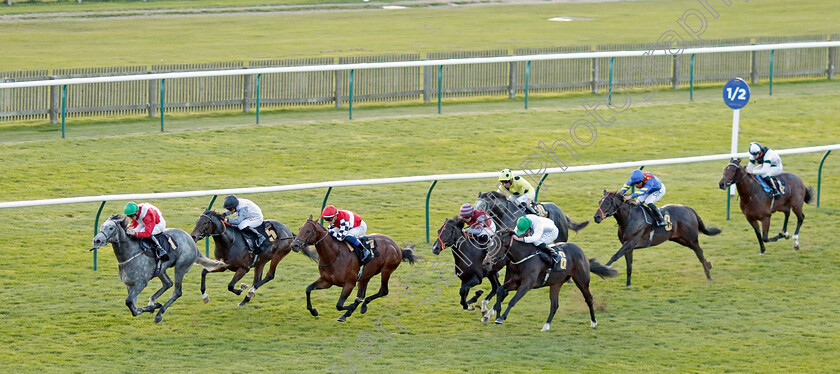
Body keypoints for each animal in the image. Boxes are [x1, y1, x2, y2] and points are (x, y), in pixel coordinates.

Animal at [91, 215, 226, 322]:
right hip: (161, 270)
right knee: (168, 283)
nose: (96, 240)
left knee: (177, 291)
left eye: (111, 228)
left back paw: (159, 314)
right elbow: (134, 308)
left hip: (181, 266)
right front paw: (151, 306)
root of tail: (191, 240)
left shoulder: (141, 283)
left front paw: (154, 307)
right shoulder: (129, 285)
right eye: (101, 226)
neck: (129, 254)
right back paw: (152, 301)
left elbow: (129, 302)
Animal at [290, 216, 418, 322]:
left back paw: (360, 307)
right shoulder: (326, 281)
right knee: (361, 296)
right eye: (300, 228)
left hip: (386, 270)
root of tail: (397, 247)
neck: (335, 255)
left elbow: (339, 305)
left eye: (308, 231)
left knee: (383, 291)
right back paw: (352, 311)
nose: (294, 245)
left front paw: (349, 308)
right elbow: (308, 289)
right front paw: (314, 311)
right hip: (365, 276)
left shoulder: (349, 284)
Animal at [480, 231, 616, 330]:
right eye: (489, 245)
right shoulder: (515, 282)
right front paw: (494, 314)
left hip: (581, 280)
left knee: (589, 299)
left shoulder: (527, 284)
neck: (523, 257)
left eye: (497, 246)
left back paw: (593, 322)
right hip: (556, 284)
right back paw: (546, 326)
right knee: (554, 305)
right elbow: (500, 290)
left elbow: (513, 300)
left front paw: (501, 318)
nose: (485, 263)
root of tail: (582, 253)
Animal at [592, 190, 720, 286]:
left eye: (607, 203)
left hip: (691, 238)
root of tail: (689, 209)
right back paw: (709, 265)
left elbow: (615, 255)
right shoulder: (628, 246)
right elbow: (629, 265)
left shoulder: (631, 242)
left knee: (699, 252)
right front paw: (628, 285)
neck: (629, 218)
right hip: (679, 239)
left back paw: (709, 275)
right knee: (698, 251)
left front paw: (604, 269)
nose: (596, 217)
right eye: (599, 202)